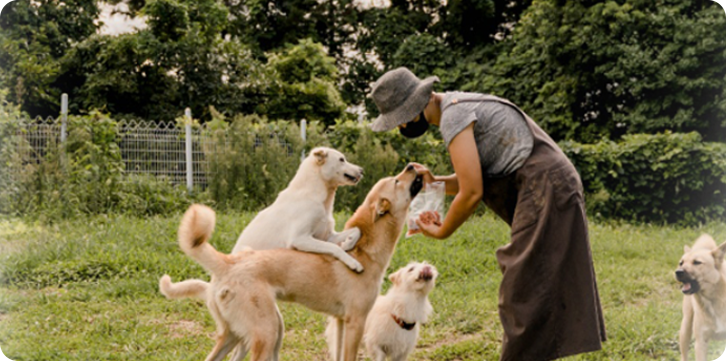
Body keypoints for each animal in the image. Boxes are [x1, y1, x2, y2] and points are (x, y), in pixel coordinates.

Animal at [157, 166, 424, 360]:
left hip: (238, 334)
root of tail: (228, 262)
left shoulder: (340, 322)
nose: (412, 165)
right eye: (397, 181)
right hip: (266, 333)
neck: (365, 253)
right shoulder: (355, 322)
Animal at [232, 146, 364, 270]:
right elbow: (334, 247)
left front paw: (348, 242)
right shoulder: (299, 239)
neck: (318, 198)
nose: (362, 170)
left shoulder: (327, 236)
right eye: (341, 159)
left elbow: (356, 229)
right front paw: (353, 262)